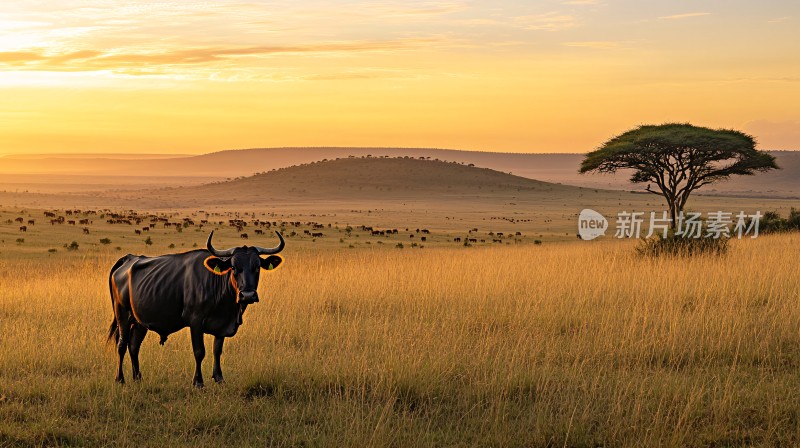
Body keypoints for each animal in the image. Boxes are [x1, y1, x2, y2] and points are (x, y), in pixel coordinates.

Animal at [108, 231, 284, 384]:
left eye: (257, 267)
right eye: (233, 267)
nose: (247, 295)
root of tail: (128, 259)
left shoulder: (222, 326)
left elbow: (217, 350)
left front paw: (219, 378)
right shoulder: (195, 322)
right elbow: (199, 352)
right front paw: (198, 381)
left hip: (140, 322)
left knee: (134, 346)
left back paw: (137, 378)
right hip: (122, 315)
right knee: (122, 345)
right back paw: (119, 378)